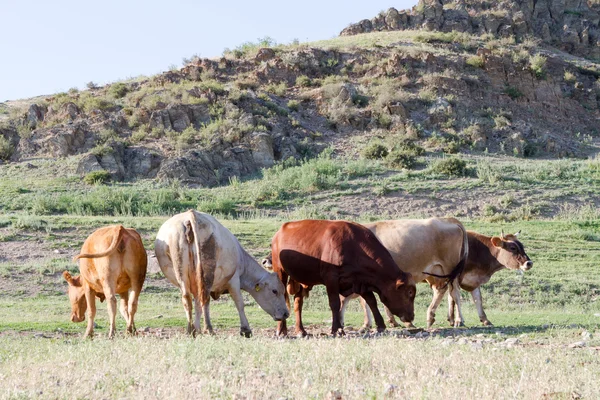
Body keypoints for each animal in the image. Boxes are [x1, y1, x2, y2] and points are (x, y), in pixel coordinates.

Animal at [154, 209, 288, 338]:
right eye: (275, 291)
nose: (286, 313)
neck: (241, 259)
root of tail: (191, 215)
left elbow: (197, 302)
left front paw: (197, 328)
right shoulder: (234, 280)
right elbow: (239, 303)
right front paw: (245, 329)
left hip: (181, 270)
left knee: (188, 299)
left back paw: (191, 331)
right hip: (207, 272)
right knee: (205, 298)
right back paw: (208, 329)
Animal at [272, 219, 418, 338]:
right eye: (410, 292)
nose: (411, 316)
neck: (354, 247)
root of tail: (279, 232)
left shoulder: (360, 281)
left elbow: (372, 301)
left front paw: (381, 325)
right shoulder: (331, 278)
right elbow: (335, 304)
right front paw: (337, 329)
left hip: (302, 280)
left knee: (298, 302)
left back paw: (300, 330)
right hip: (280, 272)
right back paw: (281, 330)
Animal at [338, 219, 468, 328]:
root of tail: (448, 219)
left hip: (450, 268)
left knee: (455, 293)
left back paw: (458, 320)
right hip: (437, 273)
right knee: (442, 291)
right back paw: (433, 317)